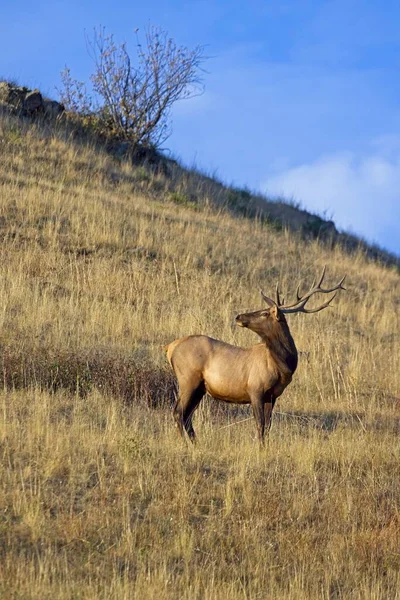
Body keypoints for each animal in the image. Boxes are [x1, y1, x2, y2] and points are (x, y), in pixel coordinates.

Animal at [164, 268, 346, 446]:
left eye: (265, 313)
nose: (238, 316)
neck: (283, 366)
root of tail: (170, 347)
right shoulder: (255, 389)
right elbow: (260, 424)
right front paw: (259, 449)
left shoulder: (272, 396)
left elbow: (268, 426)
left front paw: (265, 448)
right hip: (188, 379)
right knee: (178, 412)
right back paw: (184, 445)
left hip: (200, 388)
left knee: (187, 415)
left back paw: (196, 444)